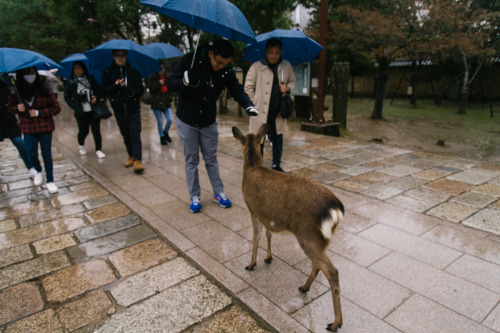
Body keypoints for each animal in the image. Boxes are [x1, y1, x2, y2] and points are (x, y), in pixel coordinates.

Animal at [233, 124, 344, 330]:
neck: (251, 168)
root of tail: (336, 209)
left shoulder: (253, 210)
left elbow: (256, 237)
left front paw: (251, 264)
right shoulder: (267, 216)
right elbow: (268, 235)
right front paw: (268, 258)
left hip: (308, 234)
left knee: (332, 271)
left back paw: (335, 324)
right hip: (320, 239)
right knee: (318, 265)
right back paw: (304, 287)